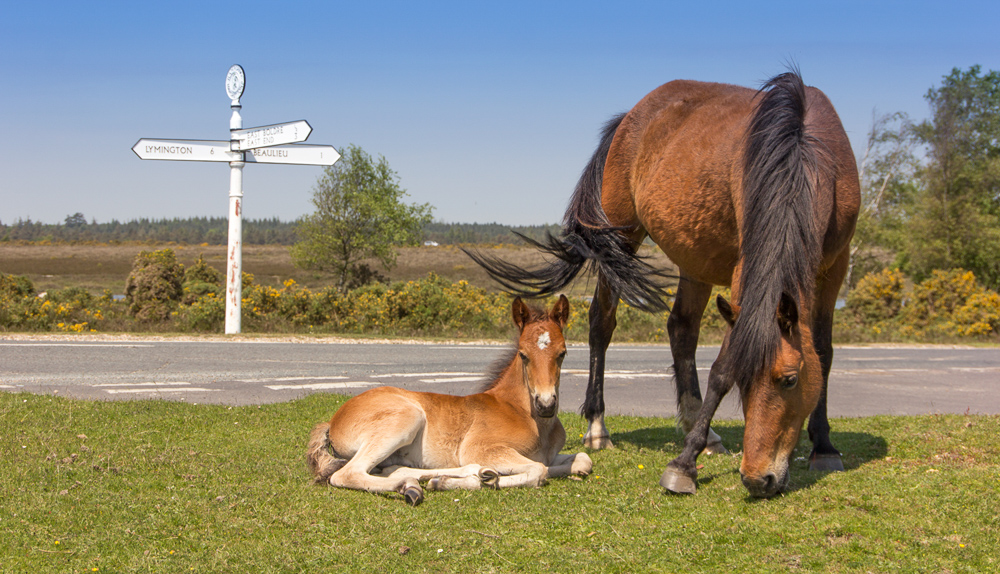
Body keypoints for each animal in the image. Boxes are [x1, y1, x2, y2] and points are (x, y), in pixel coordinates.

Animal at [306, 295, 593, 505]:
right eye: (523, 354)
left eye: (563, 353)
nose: (546, 405)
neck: (526, 415)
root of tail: (332, 421)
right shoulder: (481, 448)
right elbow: (538, 470)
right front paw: (487, 479)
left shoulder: (550, 456)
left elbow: (582, 461)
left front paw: (483, 477)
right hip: (407, 418)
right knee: (348, 473)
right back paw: (414, 487)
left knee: (393, 469)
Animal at [465, 70, 860, 498]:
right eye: (743, 385)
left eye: (790, 380)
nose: (758, 478)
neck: (801, 148)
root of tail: (630, 118)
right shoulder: (748, 267)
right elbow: (722, 365)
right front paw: (684, 465)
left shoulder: (834, 266)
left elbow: (823, 352)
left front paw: (824, 445)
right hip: (619, 241)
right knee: (602, 323)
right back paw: (599, 427)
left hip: (695, 258)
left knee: (681, 329)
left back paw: (700, 428)